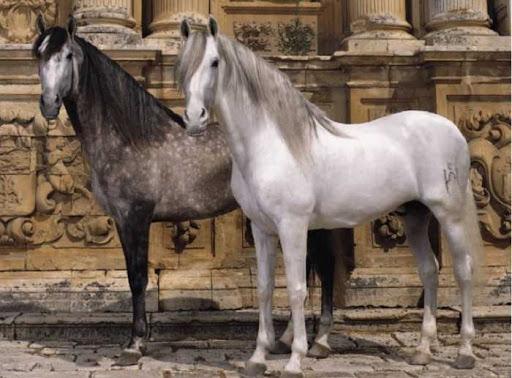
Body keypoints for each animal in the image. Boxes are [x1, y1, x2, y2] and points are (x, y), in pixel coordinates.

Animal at [31, 16, 336, 364]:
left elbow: (137, 278)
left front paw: (135, 344)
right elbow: (132, 275)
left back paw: (320, 341)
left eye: (67, 55)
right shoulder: (122, 221)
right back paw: (288, 339)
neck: (130, 138)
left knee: (325, 268)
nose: (49, 104)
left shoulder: (136, 217)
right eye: (38, 54)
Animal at [177, 17, 484, 376]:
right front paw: (257, 358)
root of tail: (453, 130)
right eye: (182, 64)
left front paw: (295, 359)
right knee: (429, 270)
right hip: (415, 216)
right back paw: (421, 350)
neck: (272, 144)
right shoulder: (262, 229)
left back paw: (465, 351)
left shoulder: (293, 227)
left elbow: (296, 290)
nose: (193, 118)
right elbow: (265, 289)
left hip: (449, 215)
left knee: (463, 270)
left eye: (214, 62)